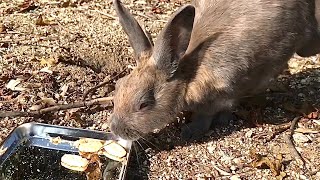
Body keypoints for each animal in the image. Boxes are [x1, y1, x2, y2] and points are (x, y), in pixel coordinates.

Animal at [109, 0, 320, 141]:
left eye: (144, 104)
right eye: (118, 87)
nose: (115, 129)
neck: (187, 76)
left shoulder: (223, 94)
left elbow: (207, 117)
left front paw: (191, 131)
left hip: (305, 46)